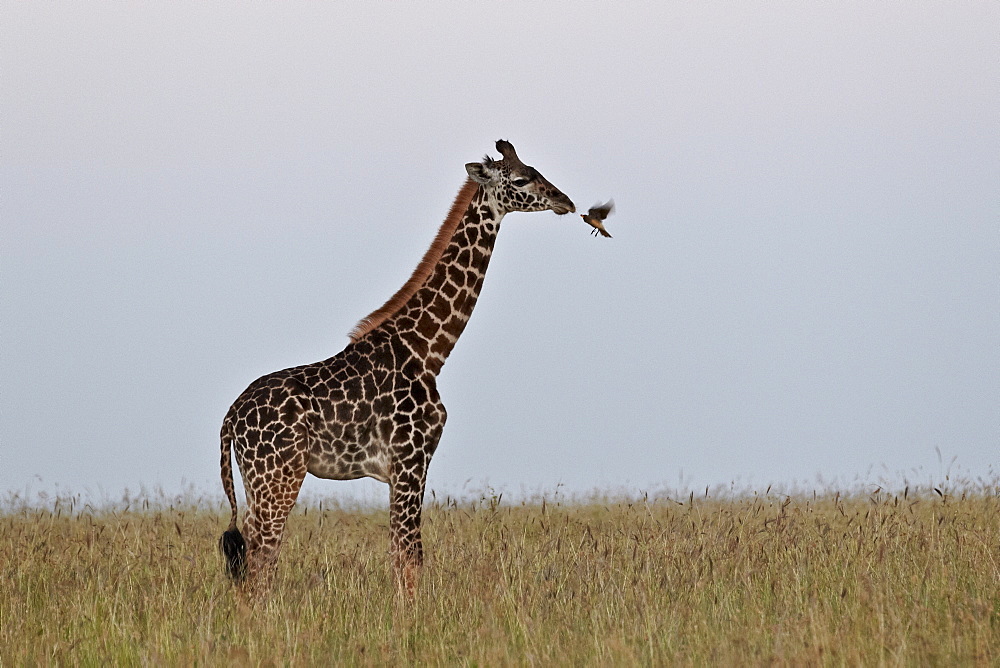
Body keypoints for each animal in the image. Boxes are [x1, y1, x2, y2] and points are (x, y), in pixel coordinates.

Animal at [222, 141, 576, 600]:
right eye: (520, 179)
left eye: (536, 170)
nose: (565, 201)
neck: (428, 350)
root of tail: (230, 418)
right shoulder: (411, 459)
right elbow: (410, 557)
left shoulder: (399, 470)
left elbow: (400, 554)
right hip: (279, 475)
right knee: (261, 559)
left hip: (257, 480)